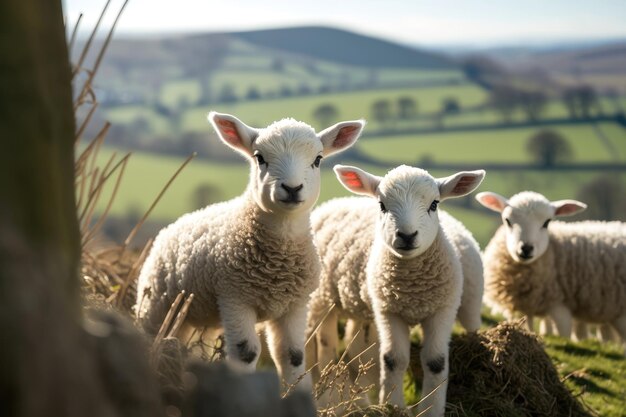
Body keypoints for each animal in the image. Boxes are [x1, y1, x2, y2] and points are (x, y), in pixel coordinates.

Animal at [134, 111, 364, 390]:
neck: (279, 263)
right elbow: (246, 354)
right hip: (156, 306)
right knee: (152, 338)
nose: (292, 188)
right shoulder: (235, 297)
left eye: (318, 160)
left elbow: (293, 355)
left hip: (202, 317)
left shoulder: (295, 304)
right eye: (259, 157)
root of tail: (175, 224)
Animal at [308, 164, 482, 414]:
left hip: (469, 303)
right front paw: (393, 405)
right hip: (321, 300)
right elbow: (393, 359)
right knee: (324, 349)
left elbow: (435, 362)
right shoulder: (387, 310)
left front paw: (432, 409)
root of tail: (335, 202)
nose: (407, 235)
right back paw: (328, 400)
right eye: (382, 205)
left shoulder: (443, 309)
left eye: (434, 204)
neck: (413, 290)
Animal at [472, 190, 624, 346]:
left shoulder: (560, 306)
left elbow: (564, 334)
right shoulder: (523, 306)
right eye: (507, 220)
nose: (526, 248)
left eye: (547, 222)